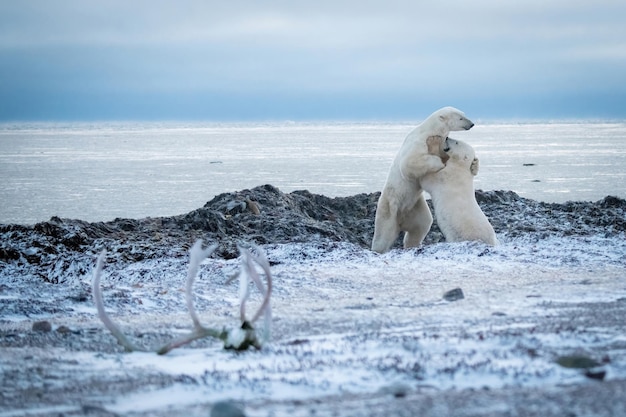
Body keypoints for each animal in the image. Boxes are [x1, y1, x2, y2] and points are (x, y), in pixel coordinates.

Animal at [370, 105, 498, 252]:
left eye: (464, 114)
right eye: (461, 117)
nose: (471, 124)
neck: (431, 131)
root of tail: (401, 219)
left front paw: (474, 164)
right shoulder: (418, 142)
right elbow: (409, 163)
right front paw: (438, 161)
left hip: (415, 207)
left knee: (422, 224)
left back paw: (412, 244)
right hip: (390, 206)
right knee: (383, 234)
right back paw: (379, 248)